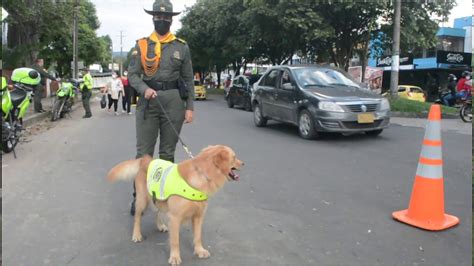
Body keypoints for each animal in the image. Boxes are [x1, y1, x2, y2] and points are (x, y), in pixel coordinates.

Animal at [107, 145, 244, 266]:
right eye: (234, 157)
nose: (243, 163)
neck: (201, 174)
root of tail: (146, 159)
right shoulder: (175, 217)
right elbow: (175, 241)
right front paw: (175, 257)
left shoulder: (198, 216)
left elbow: (198, 236)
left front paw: (199, 250)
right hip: (141, 200)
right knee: (137, 218)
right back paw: (136, 235)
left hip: (159, 197)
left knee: (158, 211)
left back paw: (160, 225)